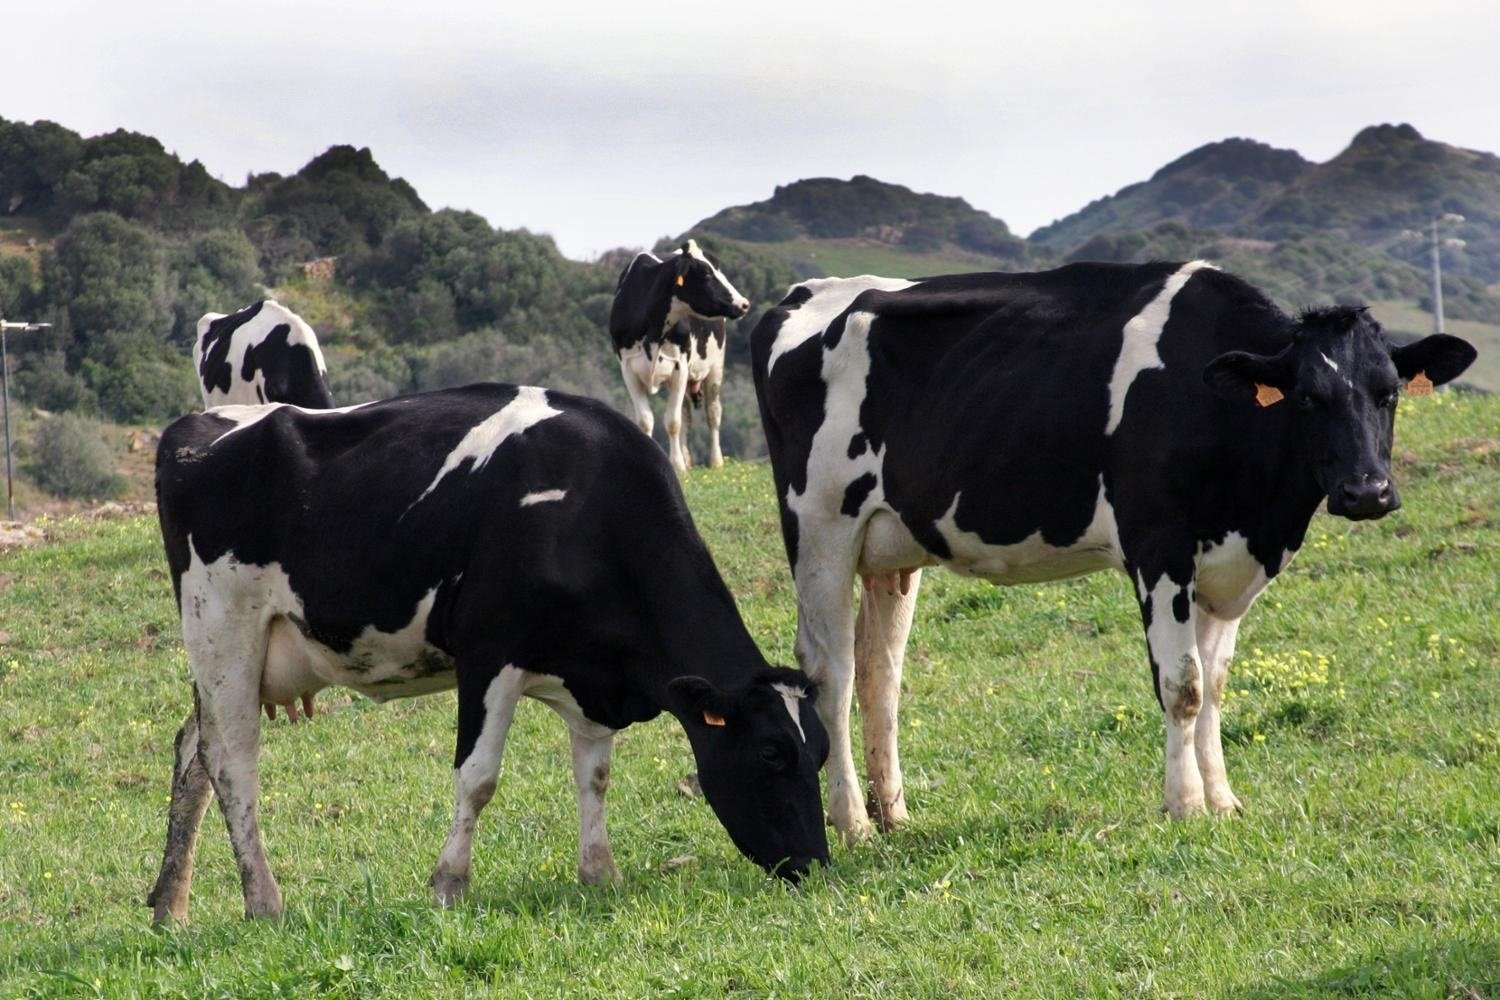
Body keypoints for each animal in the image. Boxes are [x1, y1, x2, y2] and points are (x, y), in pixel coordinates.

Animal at [146, 380, 828, 923]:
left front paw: (599, 873)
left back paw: (170, 907)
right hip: (223, 629)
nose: (817, 865)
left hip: (235, 657)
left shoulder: (592, 681)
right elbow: (478, 778)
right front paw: (449, 884)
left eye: (820, 752)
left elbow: (595, 773)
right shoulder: (488, 654)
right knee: (232, 762)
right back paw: (263, 902)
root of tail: (193, 427)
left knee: (193, 751)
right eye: (771, 753)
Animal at [609, 238, 750, 473]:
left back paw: (715, 461)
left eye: (718, 270)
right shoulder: (628, 369)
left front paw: (677, 466)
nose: (744, 304)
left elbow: (673, 422)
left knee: (713, 413)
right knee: (687, 415)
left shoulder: (680, 366)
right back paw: (688, 459)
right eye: (706, 274)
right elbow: (646, 421)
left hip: (715, 367)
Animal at [750, 262, 1476, 839]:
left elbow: (1215, 684)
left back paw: (894, 815)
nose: (1367, 491)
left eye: (1388, 393)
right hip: (820, 527)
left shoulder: (1229, 563)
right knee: (831, 672)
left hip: (890, 547)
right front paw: (1185, 806)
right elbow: (1182, 685)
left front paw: (1223, 800)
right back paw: (852, 824)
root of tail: (803, 293)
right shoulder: (1159, 546)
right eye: (1307, 397)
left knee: (881, 674)